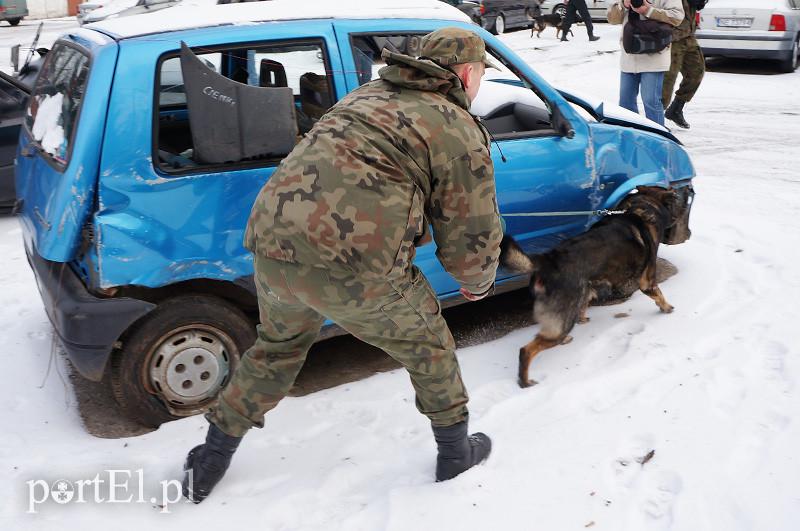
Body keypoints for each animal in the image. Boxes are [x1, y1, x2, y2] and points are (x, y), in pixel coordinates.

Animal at [500, 189, 680, 388]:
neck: (641, 209)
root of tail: (548, 259)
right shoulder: (647, 281)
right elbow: (659, 294)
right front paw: (666, 307)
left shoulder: (588, 286)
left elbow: (585, 302)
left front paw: (583, 318)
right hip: (561, 324)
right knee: (526, 350)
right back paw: (524, 381)